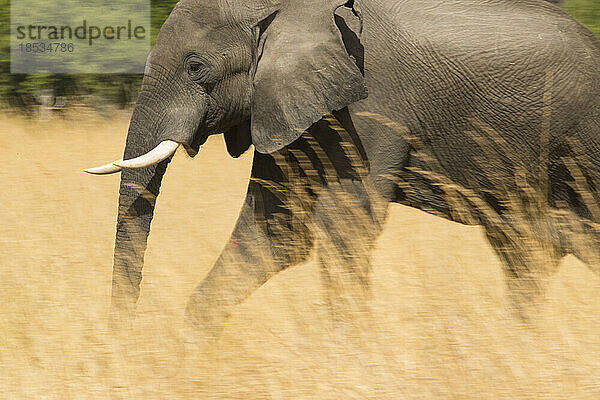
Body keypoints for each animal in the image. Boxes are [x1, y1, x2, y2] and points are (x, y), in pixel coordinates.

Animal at [85, 0, 600, 334]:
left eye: (195, 66)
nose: (123, 345)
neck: (290, 9)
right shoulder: (288, 104)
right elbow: (275, 233)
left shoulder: (372, 105)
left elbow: (346, 224)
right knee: (529, 251)